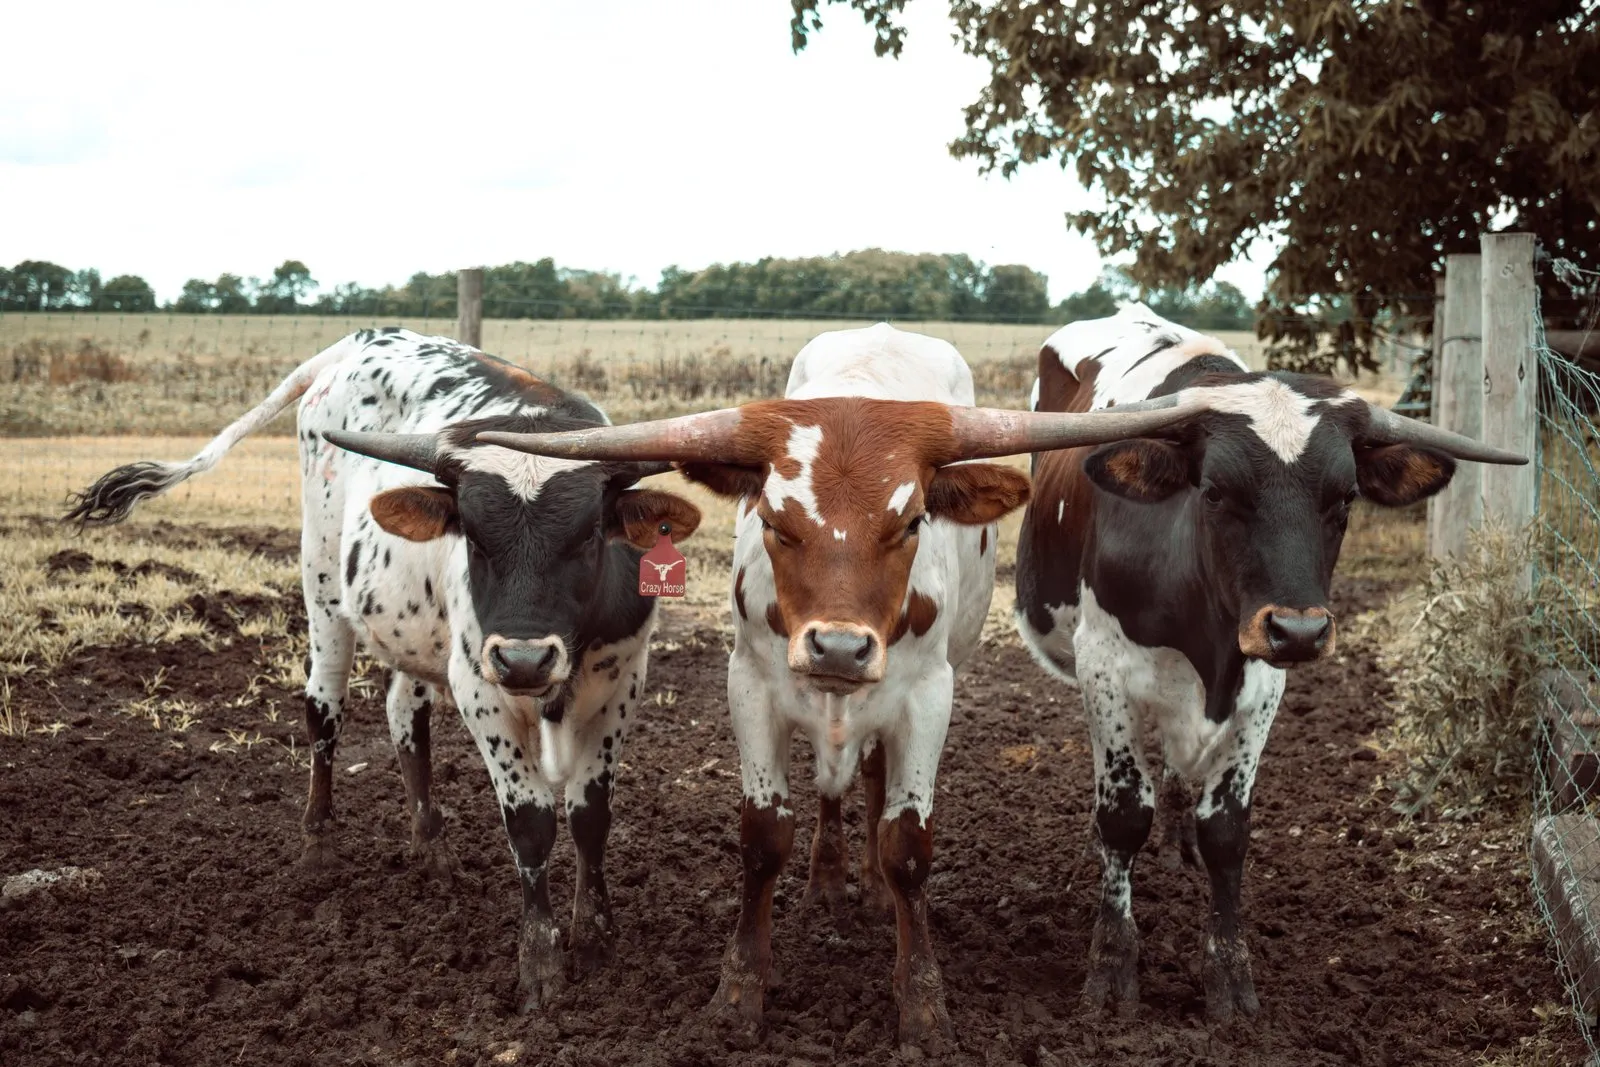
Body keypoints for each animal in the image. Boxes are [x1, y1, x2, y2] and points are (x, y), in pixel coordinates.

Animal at [64, 328, 702, 1012]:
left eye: (587, 537)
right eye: (474, 538)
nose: (525, 658)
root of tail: (356, 340)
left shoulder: (621, 686)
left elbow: (590, 817)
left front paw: (596, 937)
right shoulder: (480, 688)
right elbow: (530, 823)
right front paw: (541, 963)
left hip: (413, 629)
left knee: (405, 714)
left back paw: (431, 846)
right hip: (323, 591)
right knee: (322, 710)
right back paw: (318, 847)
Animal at [475, 322, 1216, 1048]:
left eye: (912, 521)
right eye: (773, 522)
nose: (838, 646)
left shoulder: (928, 696)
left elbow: (907, 844)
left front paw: (922, 1004)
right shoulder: (750, 687)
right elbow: (763, 836)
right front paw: (738, 994)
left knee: (874, 776)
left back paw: (869, 885)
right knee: (832, 788)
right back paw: (829, 883)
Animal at [1013, 304, 1527, 1022]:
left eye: (1345, 497)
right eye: (1214, 491)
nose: (1300, 630)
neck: (1207, 633)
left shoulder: (1261, 686)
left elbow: (1226, 830)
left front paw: (1230, 974)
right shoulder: (1105, 671)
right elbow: (1122, 818)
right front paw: (1111, 966)